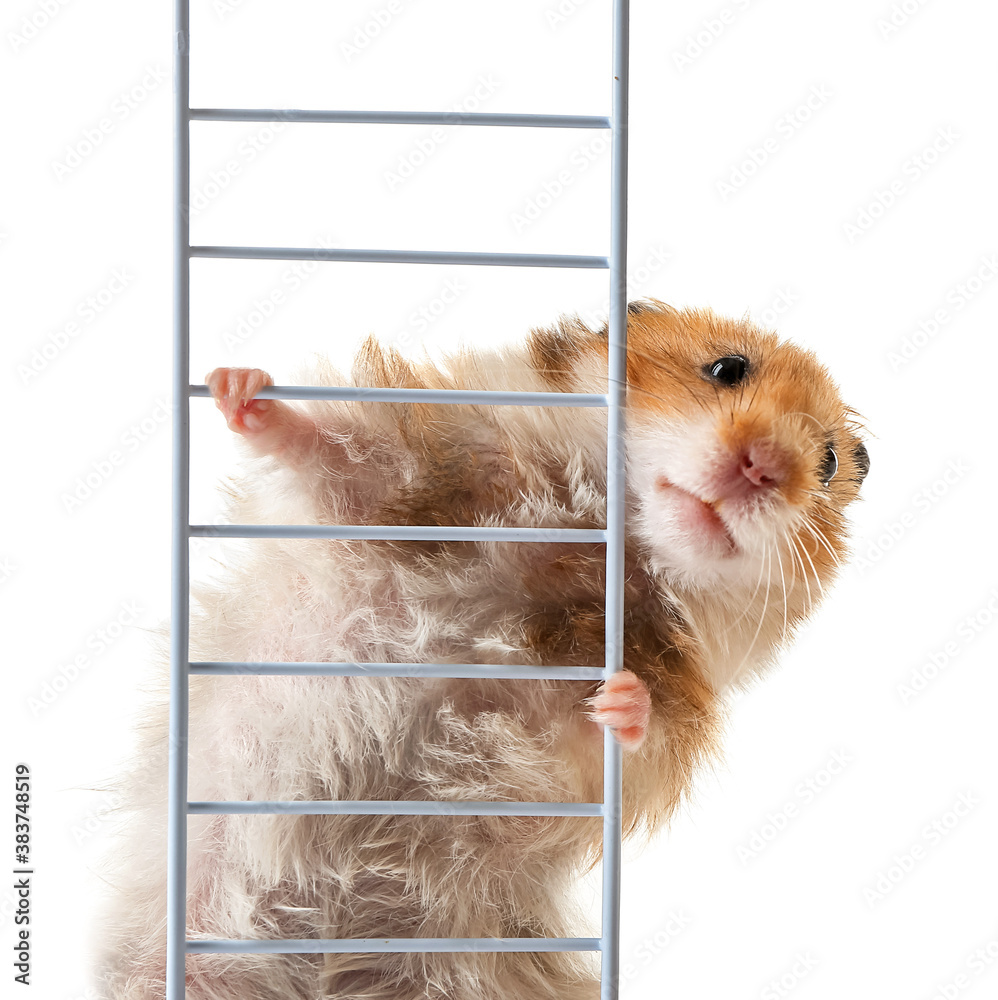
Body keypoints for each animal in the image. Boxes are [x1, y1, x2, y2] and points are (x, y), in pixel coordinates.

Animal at [97, 300, 872, 1000]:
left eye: (830, 462)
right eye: (727, 368)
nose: (764, 466)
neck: (604, 549)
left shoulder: (598, 741)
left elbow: (624, 735)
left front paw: (620, 696)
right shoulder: (417, 482)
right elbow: (329, 453)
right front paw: (238, 386)